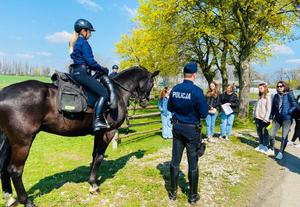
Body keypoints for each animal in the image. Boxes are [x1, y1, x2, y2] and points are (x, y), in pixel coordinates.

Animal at [0, 66, 159, 205]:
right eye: (152, 83)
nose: (145, 101)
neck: (117, 92)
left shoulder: (98, 133)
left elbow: (94, 156)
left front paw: (91, 181)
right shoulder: (108, 132)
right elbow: (99, 157)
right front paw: (94, 185)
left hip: (10, 141)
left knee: (4, 168)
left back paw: (10, 199)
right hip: (22, 141)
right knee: (15, 170)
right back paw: (26, 201)